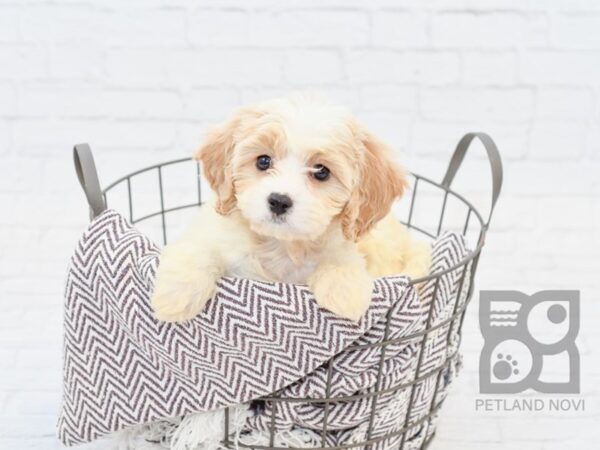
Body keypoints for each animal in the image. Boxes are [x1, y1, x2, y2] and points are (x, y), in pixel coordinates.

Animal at [150, 95, 432, 322]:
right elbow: (198, 249)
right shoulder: (213, 233)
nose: (278, 201)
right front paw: (175, 296)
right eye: (263, 161)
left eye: (321, 171)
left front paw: (344, 292)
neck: (282, 245)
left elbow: (342, 258)